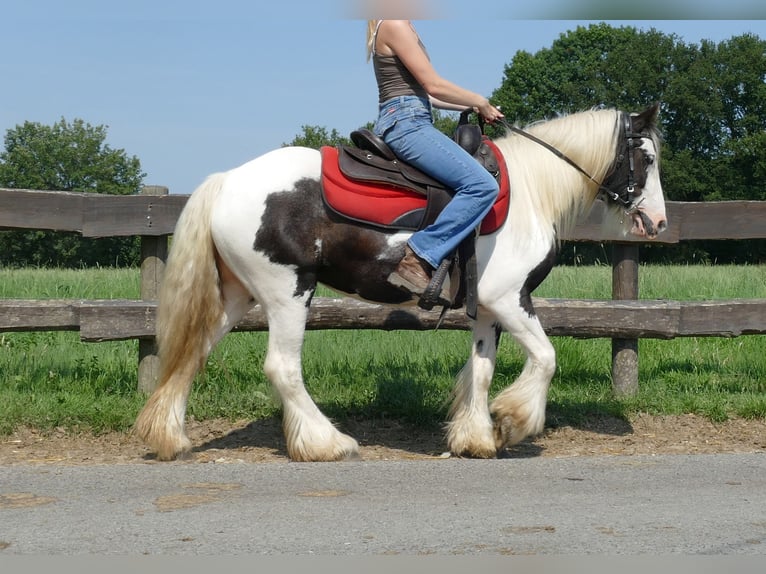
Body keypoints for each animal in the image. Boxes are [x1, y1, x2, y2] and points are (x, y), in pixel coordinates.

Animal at [135, 104, 668, 464]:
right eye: (646, 157)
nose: (658, 222)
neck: (531, 192)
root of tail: (226, 180)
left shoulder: (487, 309)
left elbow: (481, 371)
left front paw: (476, 437)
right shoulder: (510, 299)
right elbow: (546, 357)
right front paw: (513, 422)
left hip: (238, 295)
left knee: (192, 352)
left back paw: (170, 437)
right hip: (288, 292)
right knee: (282, 368)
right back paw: (327, 443)